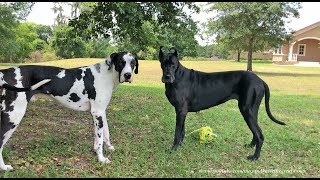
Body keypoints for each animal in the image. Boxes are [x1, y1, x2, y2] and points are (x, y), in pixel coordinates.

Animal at [0, 51, 139, 170]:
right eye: (121, 62)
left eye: (132, 63)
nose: (128, 75)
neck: (106, 74)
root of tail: (5, 72)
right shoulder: (98, 113)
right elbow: (100, 139)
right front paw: (101, 158)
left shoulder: (100, 112)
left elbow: (105, 133)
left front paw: (108, 147)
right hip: (13, 116)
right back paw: (4, 167)